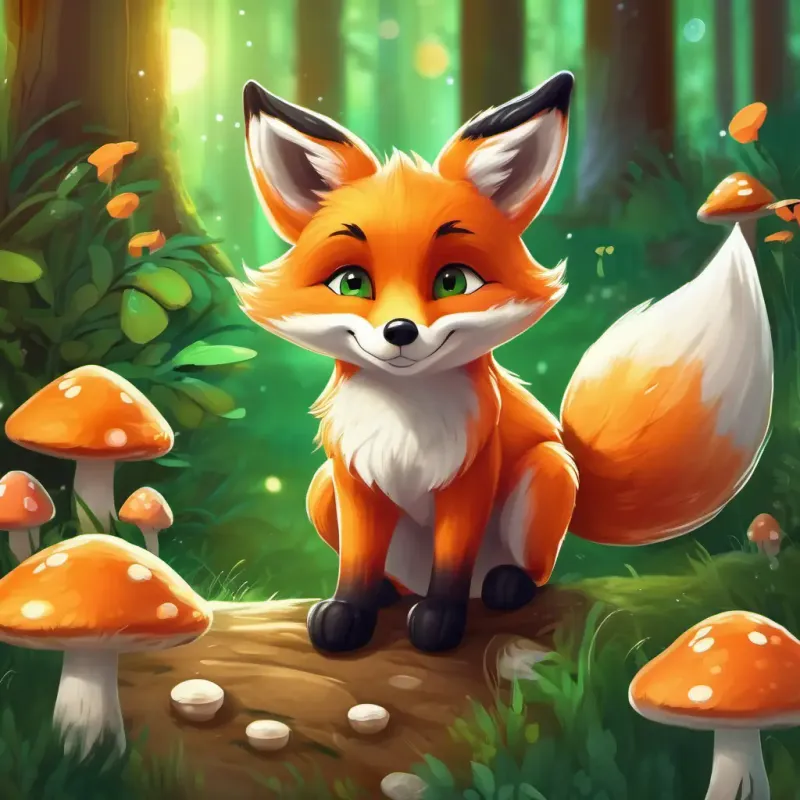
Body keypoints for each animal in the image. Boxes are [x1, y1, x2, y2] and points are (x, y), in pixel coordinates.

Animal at [232, 71, 774, 654]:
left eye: (453, 282)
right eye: (351, 283)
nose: (400, 332)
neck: (405, 421)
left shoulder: (470, 476)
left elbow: (452, 562)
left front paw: (440, 621)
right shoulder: (355, 479)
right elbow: (354, 563)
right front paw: (349, 611)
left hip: (546, 471)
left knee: (530, 571)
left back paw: (506, 586)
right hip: (320, 491)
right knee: (393, 574)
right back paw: (387, 592)